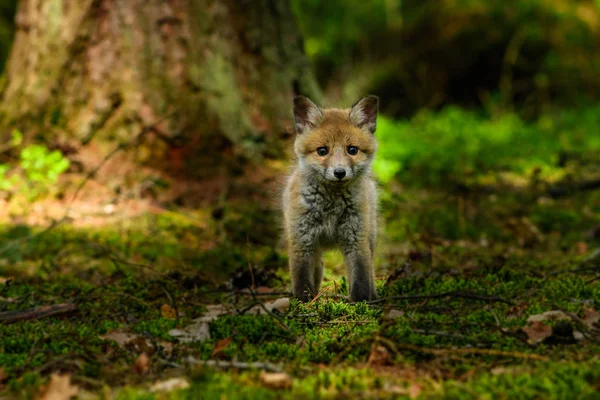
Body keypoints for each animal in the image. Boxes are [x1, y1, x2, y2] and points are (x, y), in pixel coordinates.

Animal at [282, 95, 378, 300]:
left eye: (352, 150)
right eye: (322, 151)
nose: (339, 172)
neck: (330, 208)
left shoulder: (356, 240)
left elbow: (361, 281)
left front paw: (361, 304)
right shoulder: (302, 241)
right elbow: (302, 280)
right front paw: (304, 303)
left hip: (370, 236)